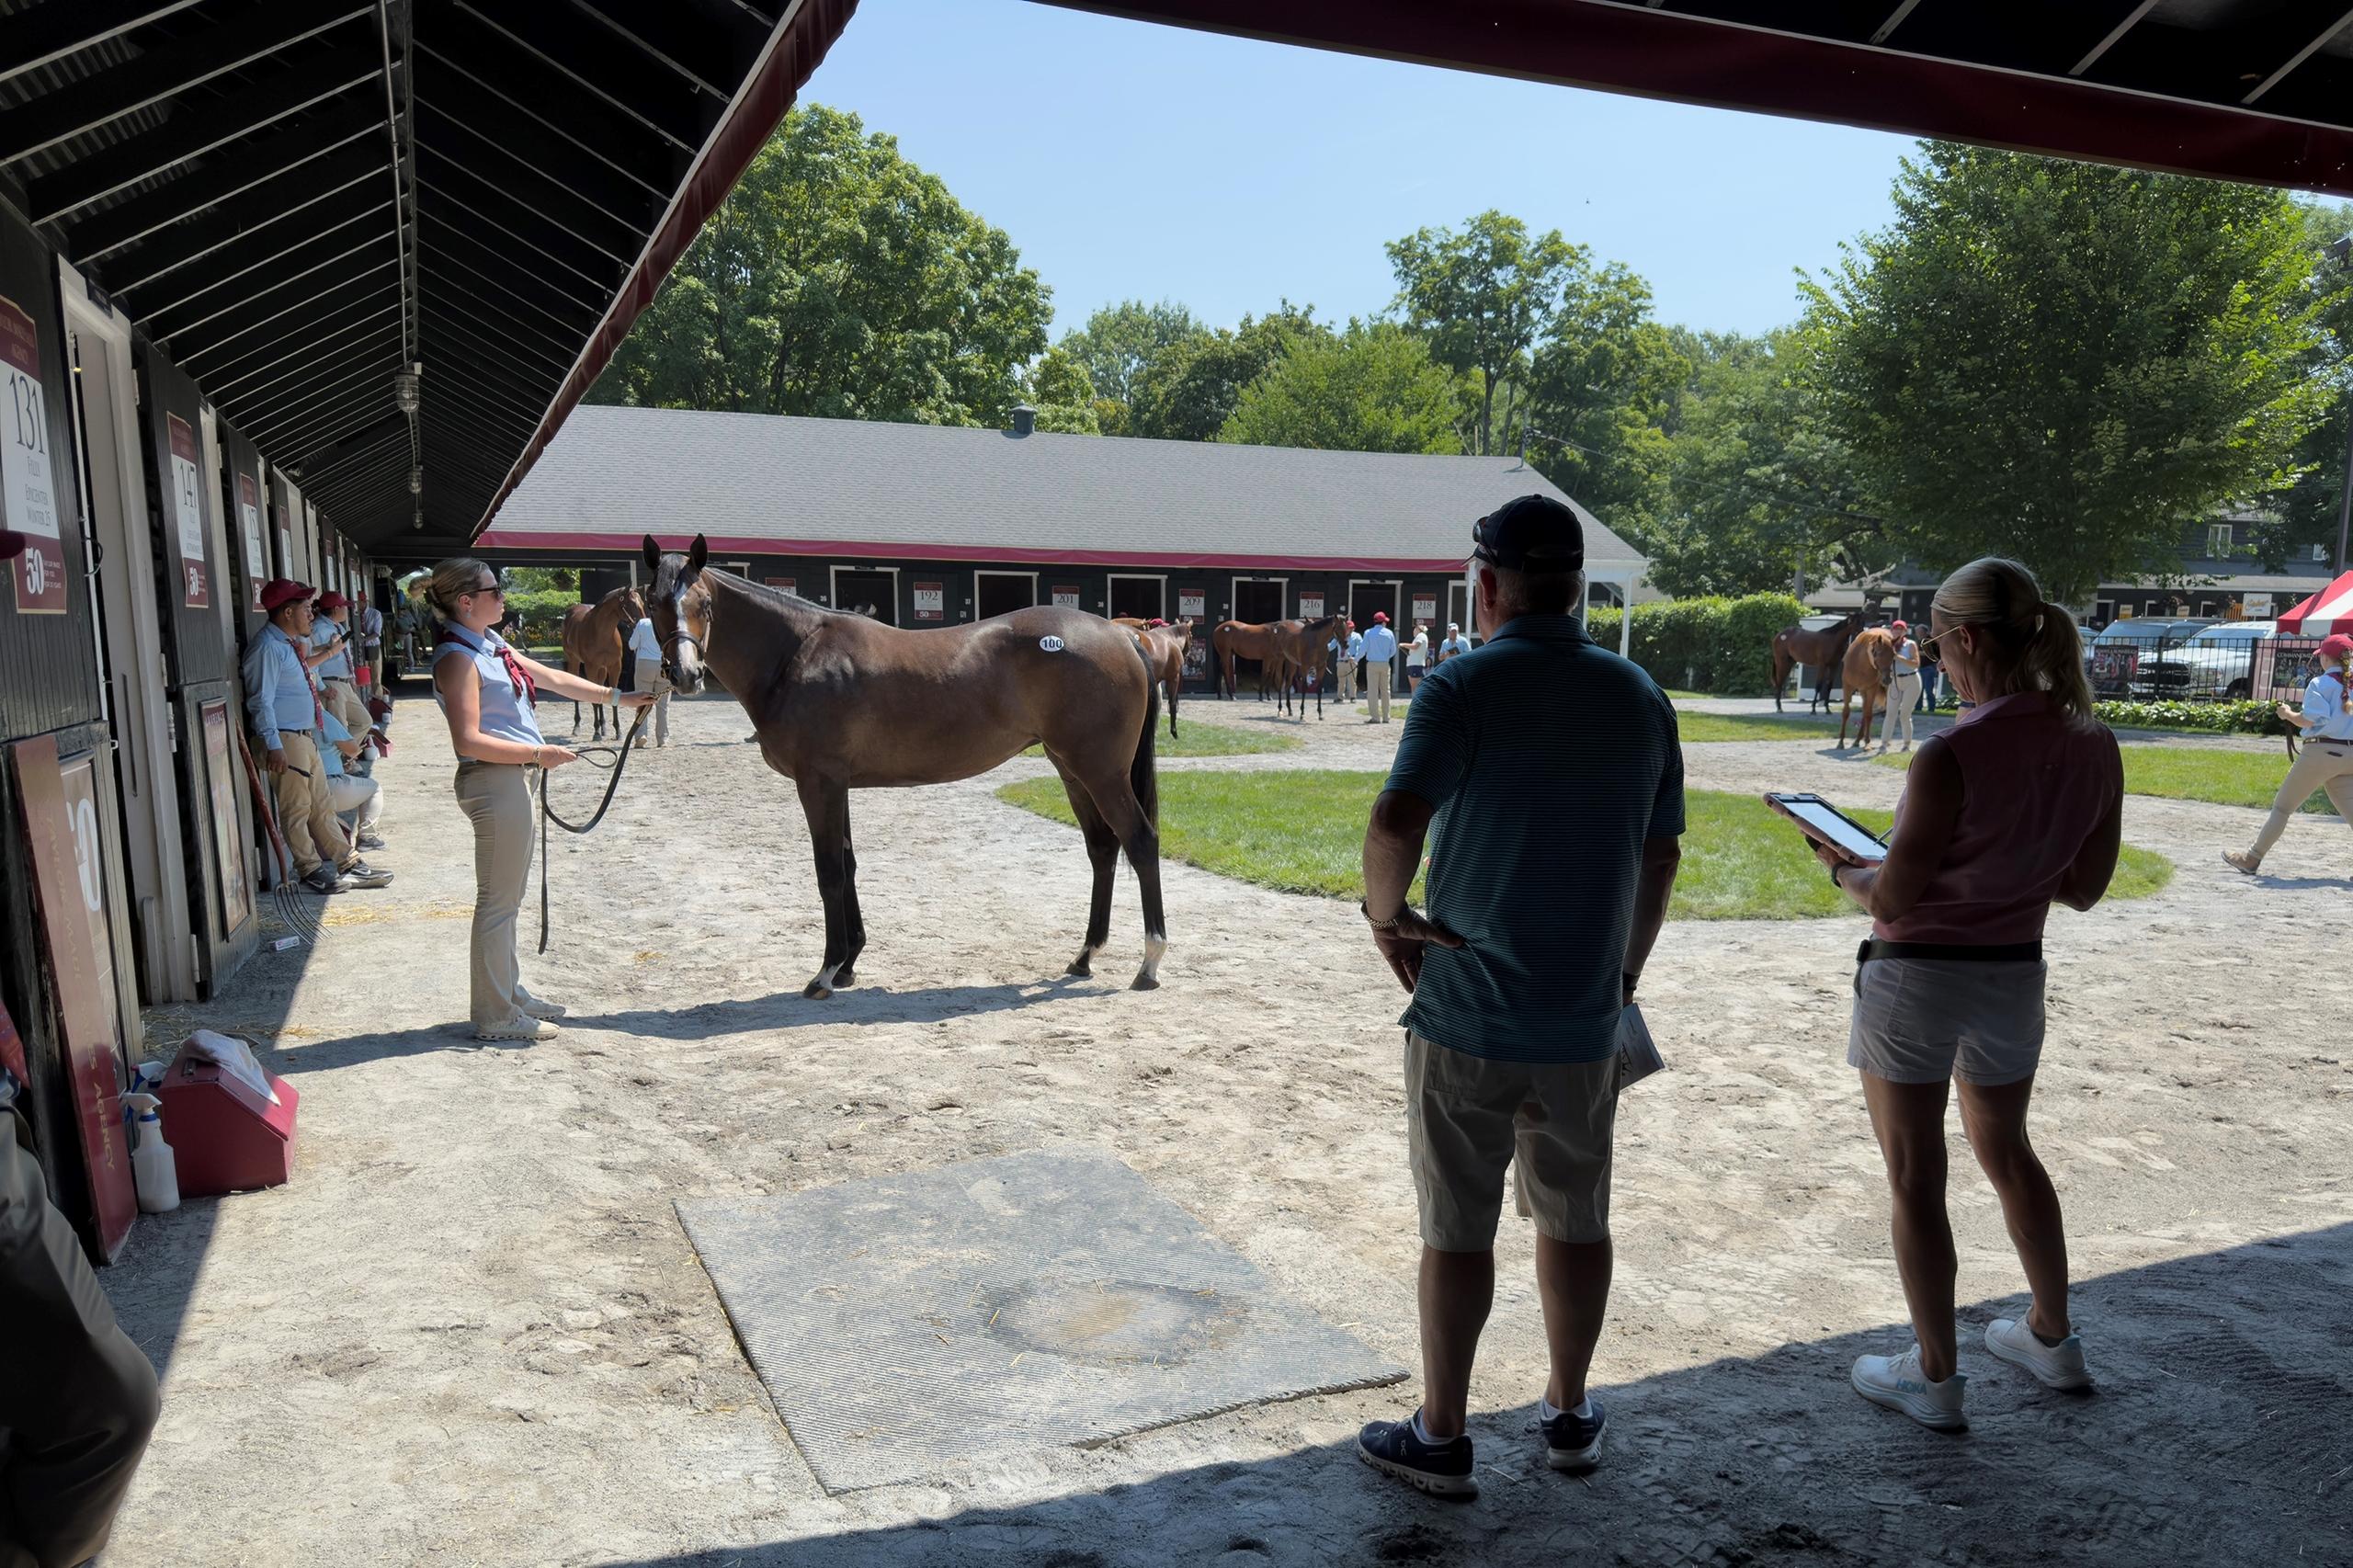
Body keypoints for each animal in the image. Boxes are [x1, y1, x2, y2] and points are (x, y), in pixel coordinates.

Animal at [561, 585, 645, 740]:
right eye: (631, 603)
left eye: (642, 603)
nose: (643, 622)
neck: (603, 634)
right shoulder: (591, 667)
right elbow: (594, 700)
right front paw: (596, 732)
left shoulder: (614, 666)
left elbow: (612, 696)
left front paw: (618, 731)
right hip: (574, 661)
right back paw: (578, 727)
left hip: (602, 669)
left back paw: (603, 726)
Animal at [643, 534, 1167, 998]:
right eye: (653, 601)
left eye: (705, 603)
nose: (685, 675)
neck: (796, 654)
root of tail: (1123, 635)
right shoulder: (837, 784)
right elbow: (848, 865)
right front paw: (849, 963)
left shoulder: (818, 783)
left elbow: (829, 870)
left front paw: (826, 972)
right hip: (1071, 770)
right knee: (1102, 848)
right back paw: (1084, 956)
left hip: (1101, 773)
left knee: (1140, 842)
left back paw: (1149, 963)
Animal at [1838, 627, 1897, 750]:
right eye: (1878, 653)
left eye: (1893, 655)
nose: (1887, 679)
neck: (1860, 663)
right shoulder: (1847, 686)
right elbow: (1846, 712)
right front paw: (1841, 742)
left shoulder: (1872, 689)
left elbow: (1869, 715)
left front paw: (1867, 742)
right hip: (1863, 691)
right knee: (1864, 710)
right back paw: (1857, 740)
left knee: (1870, 712)